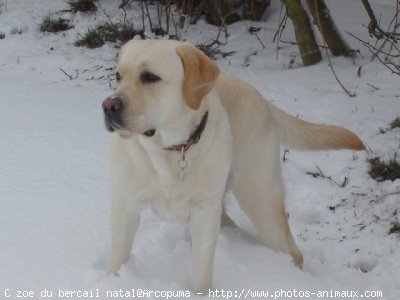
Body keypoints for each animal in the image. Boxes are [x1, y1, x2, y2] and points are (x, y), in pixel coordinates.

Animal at [101, 38, 364, 292]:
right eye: (118, 75)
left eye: (150, 77)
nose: (108, 106)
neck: (170, 150)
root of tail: (261, 98)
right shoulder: (125, 206)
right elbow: (117, 259)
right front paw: (115, 283)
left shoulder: (204, 209)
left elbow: (202, 270)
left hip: (259, 200)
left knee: (293, 252)